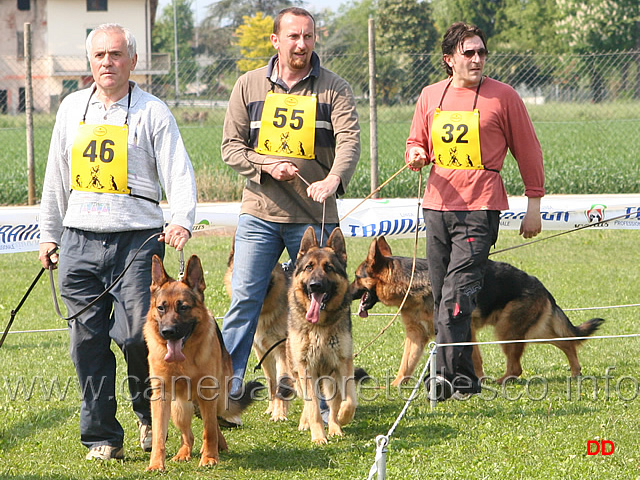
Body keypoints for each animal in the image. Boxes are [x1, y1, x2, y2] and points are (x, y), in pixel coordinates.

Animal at [224, 240, 292, 420]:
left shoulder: (282, 350)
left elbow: (282, 380)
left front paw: (279, 413)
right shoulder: (262, 352)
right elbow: (271, 382)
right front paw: (272, 408)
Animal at [288, 227, 358, 444]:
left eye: (328, 268)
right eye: (309, 267)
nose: (315, 285)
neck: (319, 327)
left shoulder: (343, 364)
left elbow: (348, 400)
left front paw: (341, 419)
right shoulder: (307, 368)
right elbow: (313, 407)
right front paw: (318, 436)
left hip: (329, 378)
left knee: (332, 402)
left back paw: (335, 427)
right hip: (299, 374)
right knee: (308, 402)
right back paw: (305, 423)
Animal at [350, 237, 604, 386]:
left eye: (355, 277)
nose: (345, 292)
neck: (410, 283)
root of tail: (541, 286)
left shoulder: (465, 330)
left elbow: (474, 358)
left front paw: (478, 381)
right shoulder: (416, 336)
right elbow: (406, 365)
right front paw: (395, 386)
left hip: (507, 331)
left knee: (517, 367)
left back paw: (501, 381)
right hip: (531, 331)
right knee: (566, 342)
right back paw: (575, 371)